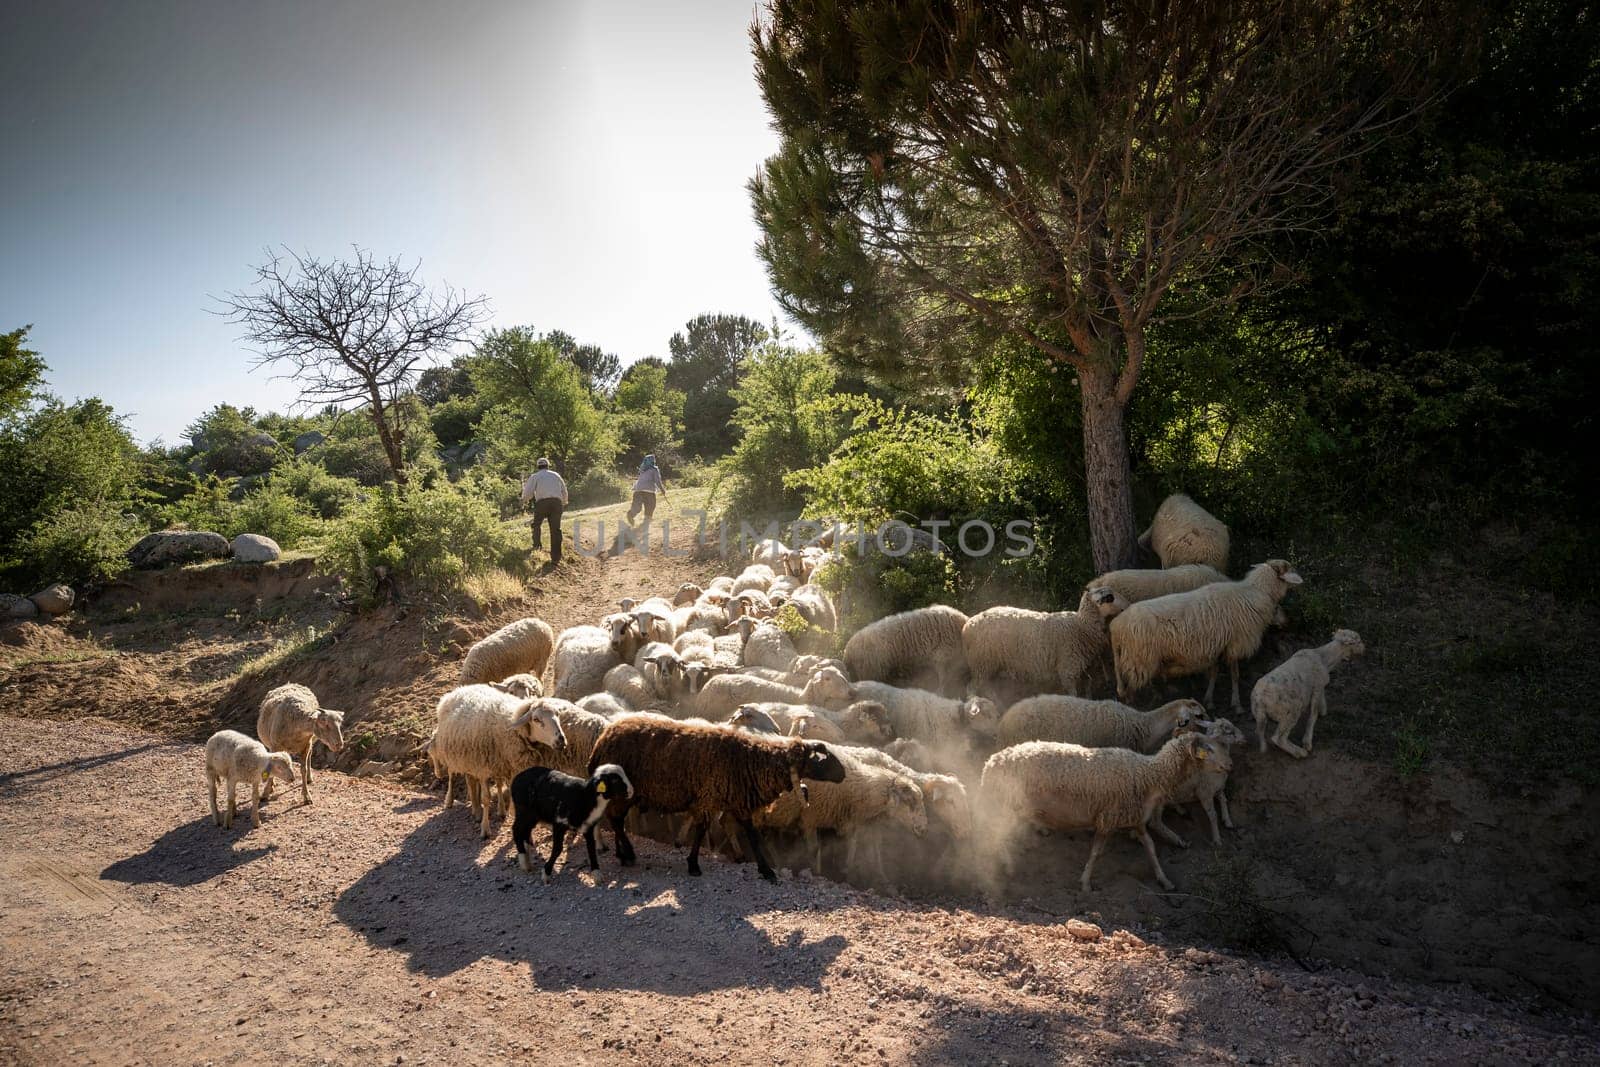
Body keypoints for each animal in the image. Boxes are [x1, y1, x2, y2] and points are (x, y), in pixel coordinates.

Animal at [960, 588, 1126, 703]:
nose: (1127, 606)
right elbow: (1072, 692)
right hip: (982, 662)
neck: (1081, 626)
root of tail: (967, 626)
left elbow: (1087, 689)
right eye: (1109, 597)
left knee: (987, 687)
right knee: (972, 687)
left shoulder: (1084, 668)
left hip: (990, 664)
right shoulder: (1068, 668)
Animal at [972, 735, 1222, 895]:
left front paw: (1164, 880)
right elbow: (1096, 853)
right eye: (1208, 749)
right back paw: (1007, 866)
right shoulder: (1107, 819)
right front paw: (1085, 884)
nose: (1227, 766)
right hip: (1007, 804)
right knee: (995, 834)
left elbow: (1150, 847)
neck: (1149, 775)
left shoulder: (1135, 819)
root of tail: (990, 763)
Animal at [1107, 559, 1305, 710]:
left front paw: (1209, 700)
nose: (1289, 622)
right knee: (1132, 689)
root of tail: (1116, 627)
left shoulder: (1216, 645)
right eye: (1289, 569)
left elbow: (1214, 673)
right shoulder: (1235, 643)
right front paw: (1237, 704)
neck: (1255, 592)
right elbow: (1235, 675)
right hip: (1140, 660)